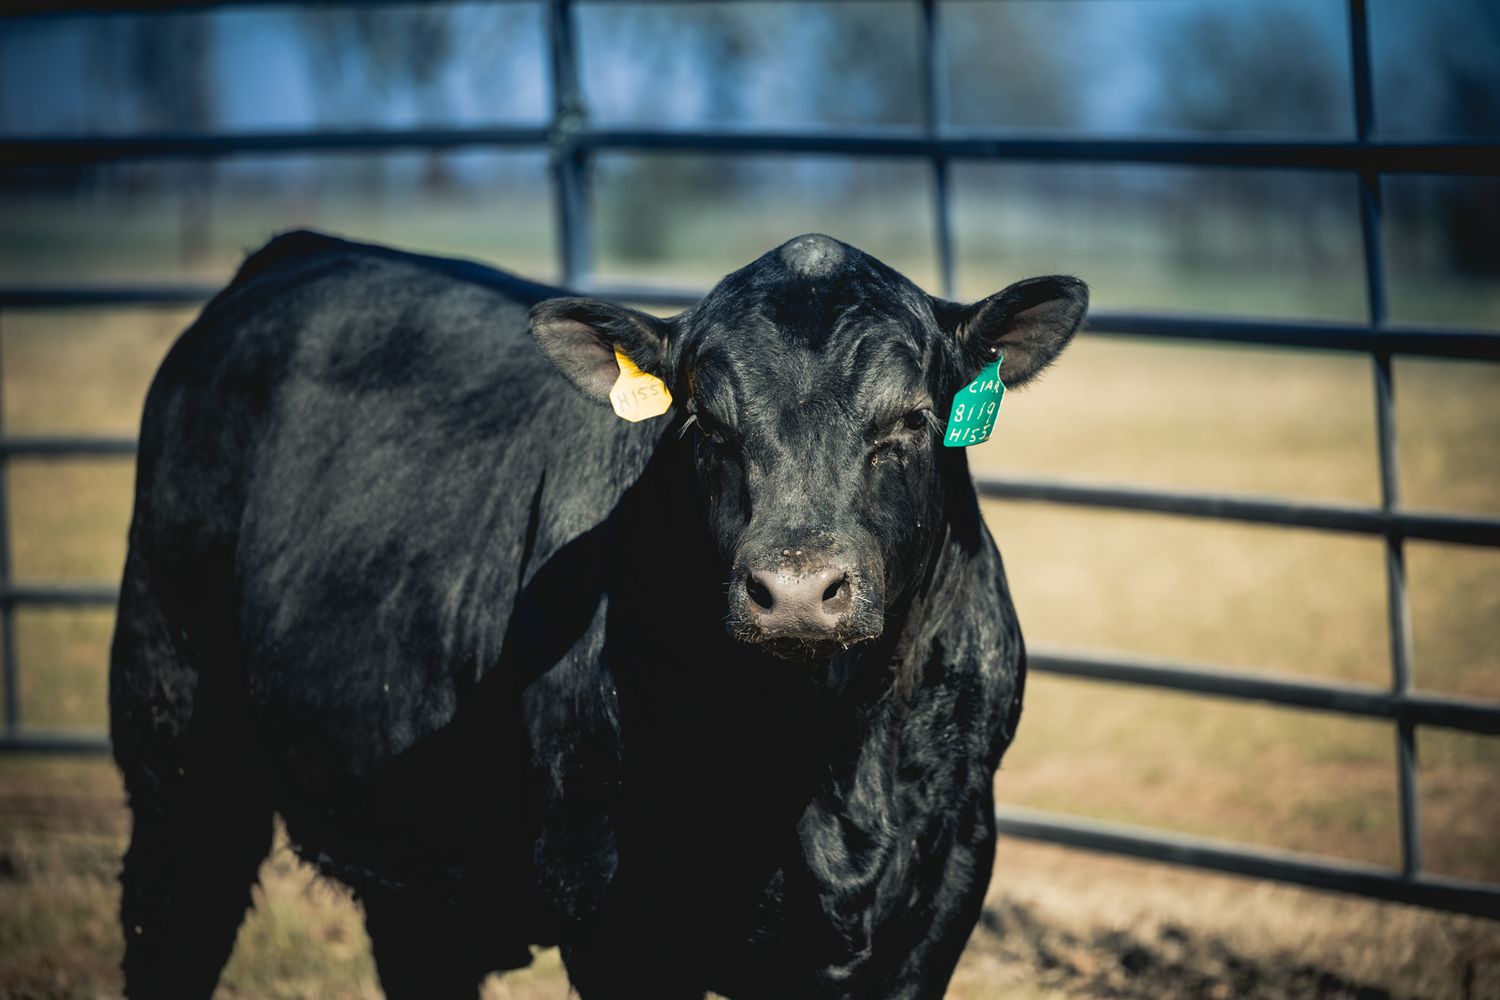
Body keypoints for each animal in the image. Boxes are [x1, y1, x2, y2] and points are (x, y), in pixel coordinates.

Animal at [109, 229, 1086, 999]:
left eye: (912, 421)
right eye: (705, 424)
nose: (797, 591)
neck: (826, 766)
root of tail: (297, 251)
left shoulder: (942, 887)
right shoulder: (614, 905)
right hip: (177, 740)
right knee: (171, 922)